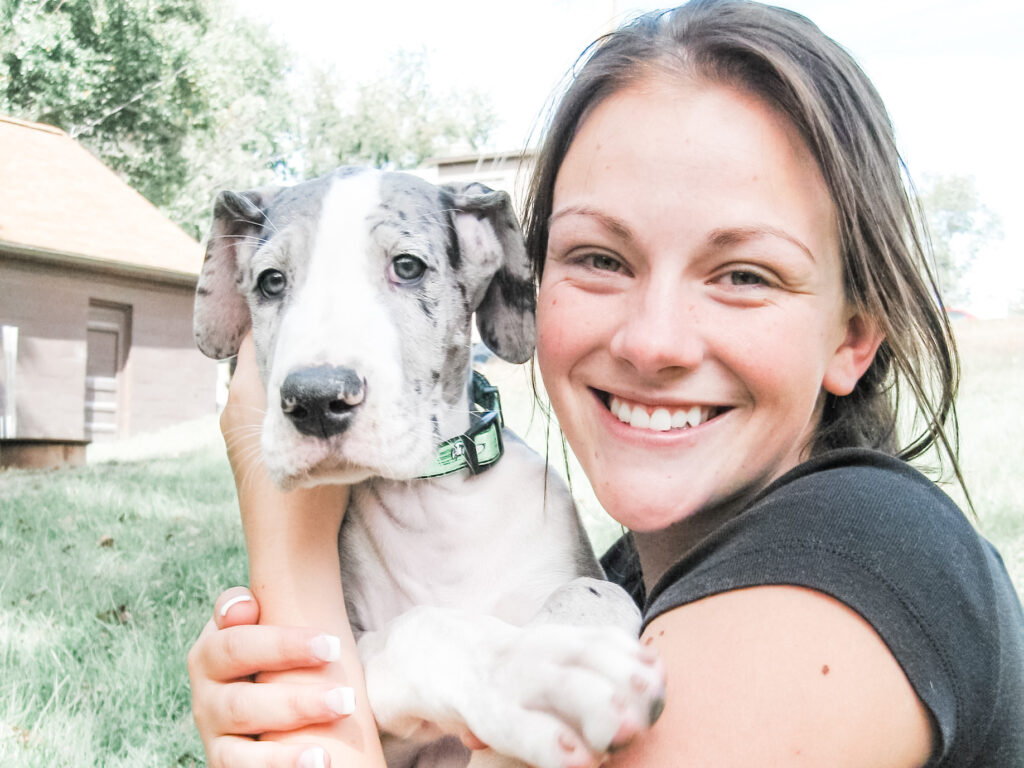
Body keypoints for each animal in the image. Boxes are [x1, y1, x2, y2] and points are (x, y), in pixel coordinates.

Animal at [193, 167, 663, 768]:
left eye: (408, 266)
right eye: (271, 281)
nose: (316, 399)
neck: (434, 502)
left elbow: (593, 592)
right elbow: (419, 631)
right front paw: (534, 671)